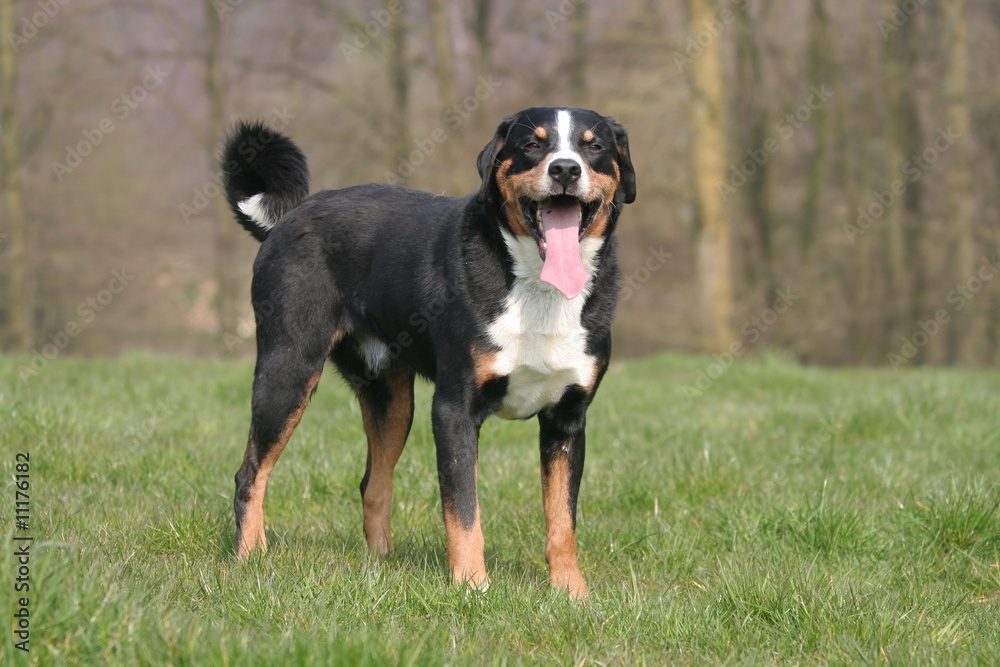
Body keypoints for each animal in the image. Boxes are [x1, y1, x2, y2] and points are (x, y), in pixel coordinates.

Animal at [223, 107, 636, 596]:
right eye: (533, 145)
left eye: (594, 147)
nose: (566, 169)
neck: (539, 289)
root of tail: (288, 217)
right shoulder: (454, 409)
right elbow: (464, 511)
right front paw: (472, 587)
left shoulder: (567, 419)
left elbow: (561, 518)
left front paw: (571, 592)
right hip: (287, 371)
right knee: (251, 473)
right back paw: (251, 555)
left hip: (392, 399)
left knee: (373, 483)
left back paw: (381, 563)